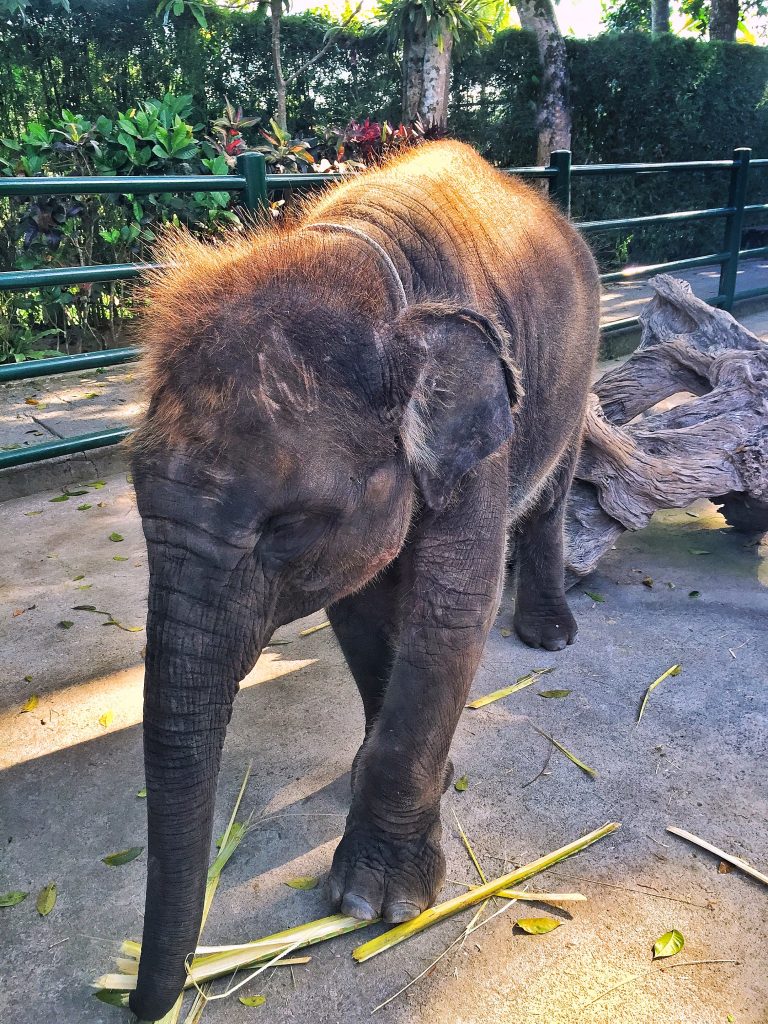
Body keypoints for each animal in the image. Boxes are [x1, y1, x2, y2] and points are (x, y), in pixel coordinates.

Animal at [127, 139, 600, 1019]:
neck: (358, 266)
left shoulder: (478, 441)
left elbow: (450, 615)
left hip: (575, 369)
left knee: (555, 489)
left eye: (285, 527)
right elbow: (363, 613)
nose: (143, 1003)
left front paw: (374, 906)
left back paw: (549, 633)